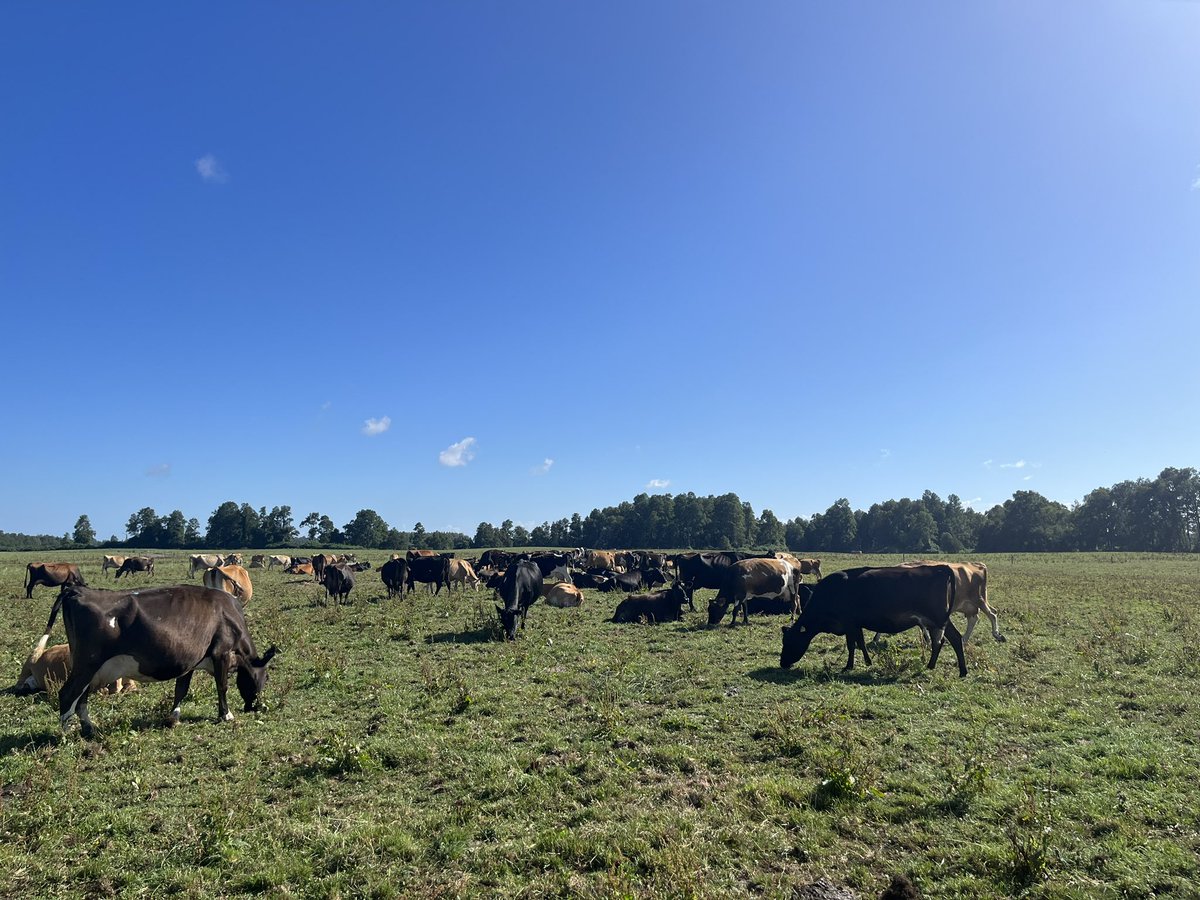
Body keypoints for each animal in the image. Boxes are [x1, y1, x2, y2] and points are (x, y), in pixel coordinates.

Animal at [42, 584, 278, 737]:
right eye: (265, 678)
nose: (255, 707)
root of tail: (77, 590)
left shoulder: (190, 661)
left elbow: (181, 689)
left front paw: (174, 717)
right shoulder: (221, 652)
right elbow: (222, 685)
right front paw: (226, 715)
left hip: (87, 668)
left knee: (80, 699)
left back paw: (89, 729)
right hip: (87, 664)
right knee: (67, 694)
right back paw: (66, 735)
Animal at [779, 564, 967, 677]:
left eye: (789, 642)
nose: (782, 663)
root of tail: (941, 567)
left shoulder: (849, 623)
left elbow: (852, 645)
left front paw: (848, 666)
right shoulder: (856, 624)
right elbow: (860, 643)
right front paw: (868, 662)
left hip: (937, 618)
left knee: (943, 641)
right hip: (939, 620)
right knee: (953, 639)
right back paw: (950, 669)